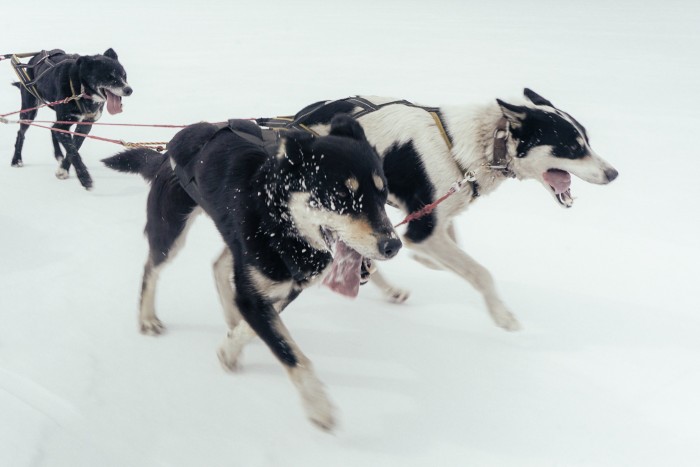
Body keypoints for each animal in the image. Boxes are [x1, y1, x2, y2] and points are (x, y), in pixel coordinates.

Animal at [11, 48, 133, 189]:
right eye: (109, 77)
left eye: (124, 75)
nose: (129, 90)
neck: (81, 88)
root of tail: (35, 58)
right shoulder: (64, 125)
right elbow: (73, 151)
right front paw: (84, 177)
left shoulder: (84, 125)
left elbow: (74, 147)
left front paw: (64, 168)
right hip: (29, 112)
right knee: (21, 133)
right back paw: (16, 159)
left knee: (53, 128)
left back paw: (58, 154)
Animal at [101, 116, 402, 432]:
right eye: (341, 194)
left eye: (383, 192)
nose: (393, 245)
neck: (279, 219)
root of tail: (166, 151)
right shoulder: (256, 292)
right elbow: (290, 353)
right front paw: (318, 405)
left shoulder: (285, 286)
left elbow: (258, 325)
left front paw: (230, 347)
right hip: (170, 233)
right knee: (152, 268)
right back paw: (147, 317)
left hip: (237, 243)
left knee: (218, 265)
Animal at [258, 89, 616, 330]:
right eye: (572, 147)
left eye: (587, 140)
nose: (613, 174)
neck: (479, 144)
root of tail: (298, 123)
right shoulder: (423, 229)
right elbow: (478, 271)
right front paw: (503, 315)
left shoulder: (438, 214)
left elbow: (453, 246)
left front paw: (428, 262)